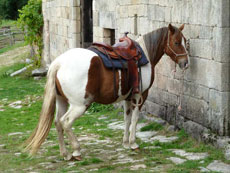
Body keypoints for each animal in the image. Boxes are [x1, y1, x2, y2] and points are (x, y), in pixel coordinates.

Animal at [24, 23, 189, 160]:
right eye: (176, 42)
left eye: (185, 41)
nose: (185, 63)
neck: (145, 55)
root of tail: (58, 64)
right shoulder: (139, 96)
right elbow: (135, 119)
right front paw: (133, 143)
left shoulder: (127, 97)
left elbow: (127, 119)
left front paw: (125, 143)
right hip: (80, 105)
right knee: (66, 122)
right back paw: (76, 151)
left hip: (61, 101)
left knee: (58, 122)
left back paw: (65, 154)